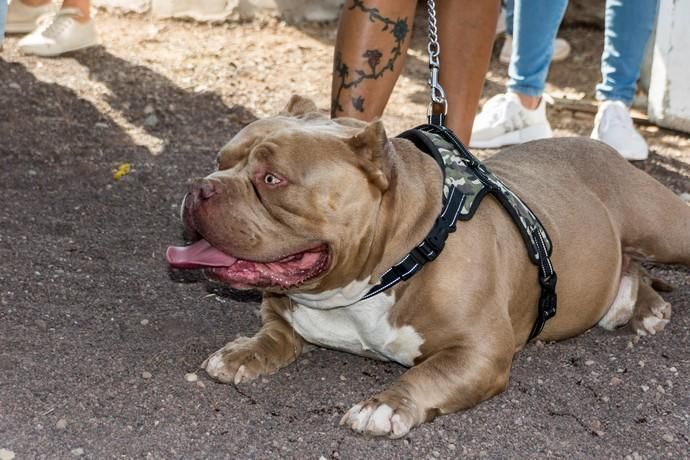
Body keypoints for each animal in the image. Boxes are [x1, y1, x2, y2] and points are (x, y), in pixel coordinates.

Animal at [167, 95, 688, 436]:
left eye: (271, 179)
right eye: (220, 159)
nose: (200, 187)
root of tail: (600, 148)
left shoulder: (480, 353)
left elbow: (426, 375)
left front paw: (384, 405)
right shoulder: (283, 309)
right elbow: (272, 334)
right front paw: (242, 353)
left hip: (665, 229)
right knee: (634, 267)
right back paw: (642, 305)